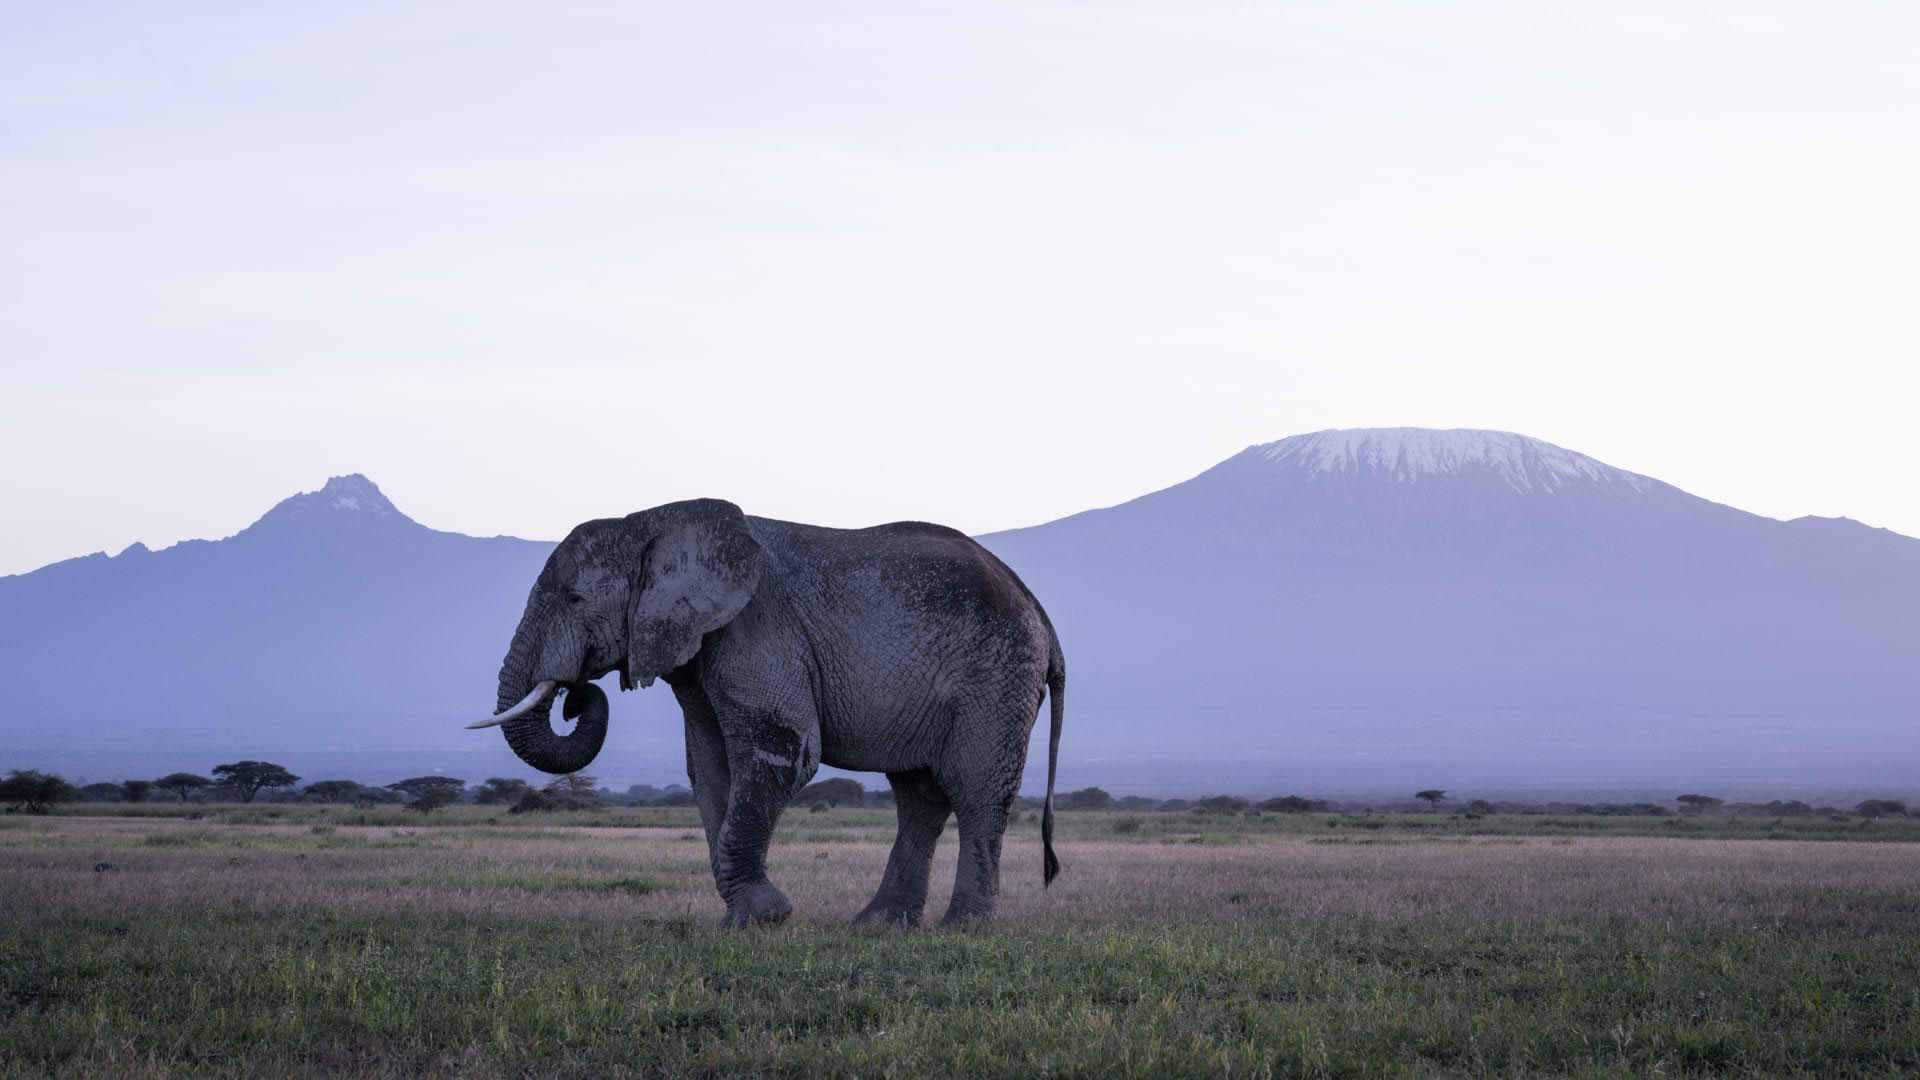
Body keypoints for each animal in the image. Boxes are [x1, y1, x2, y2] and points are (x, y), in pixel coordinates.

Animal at [469, 498, 1064, 927]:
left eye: (573, 598)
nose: (575, 696)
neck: (652, 523)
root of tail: (1040, 611)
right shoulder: (701, 651)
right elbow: (710, 768)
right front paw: (742, 920)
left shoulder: (757, 628)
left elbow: (784, 748)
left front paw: (766, 919)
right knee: (918, 796)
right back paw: (877, 926)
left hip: (998, 673)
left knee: (976, 789)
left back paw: (963, 928)